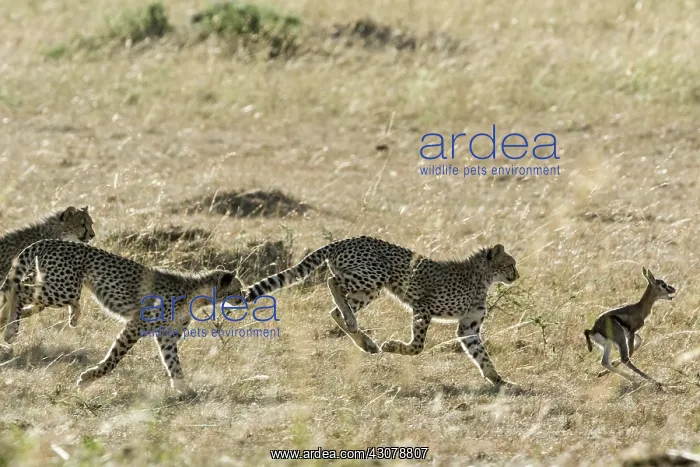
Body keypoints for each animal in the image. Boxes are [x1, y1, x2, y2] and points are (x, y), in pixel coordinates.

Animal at [0, 239, 241, 395]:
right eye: (237, 289)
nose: (244, 297)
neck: (197, 294)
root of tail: (51, 240)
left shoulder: (166, 336)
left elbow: (173, 362)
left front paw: (184, 389)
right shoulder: (136, 325)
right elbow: (114, 359)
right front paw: (88, 378)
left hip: (54, 285)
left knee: (22, 293)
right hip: (62, 289)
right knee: (19, 290)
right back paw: (10, 329)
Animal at [244, 236, 520, 387]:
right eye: (510, 264)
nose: (517, 275)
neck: (482, 277)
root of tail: (346, 240)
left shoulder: (467, 327)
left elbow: (481, 355)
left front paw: (498, 380)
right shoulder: (423, 307)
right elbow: (417, 347)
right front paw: (393, 346)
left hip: (369, 290)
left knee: (336, 311)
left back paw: (364, 340)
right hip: (374, 276)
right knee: (332, 283)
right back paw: (360, 330)